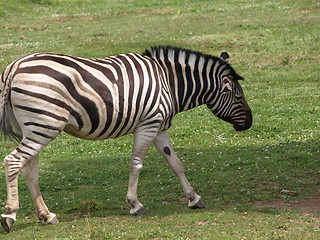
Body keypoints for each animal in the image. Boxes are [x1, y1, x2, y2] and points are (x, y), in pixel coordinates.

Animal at [0, 46, 251, 232]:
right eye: (239, 96)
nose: (249, 122)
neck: (169, 83)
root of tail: (15, 66)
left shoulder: (160, 127)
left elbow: (175, 163)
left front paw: (194, 198)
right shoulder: (148, 123)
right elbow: (136, 164)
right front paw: (135, 204)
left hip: (33, 128)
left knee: (29, 169)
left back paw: (46, 215)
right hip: (45, 124)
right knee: (13, 162)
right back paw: (9, 215)